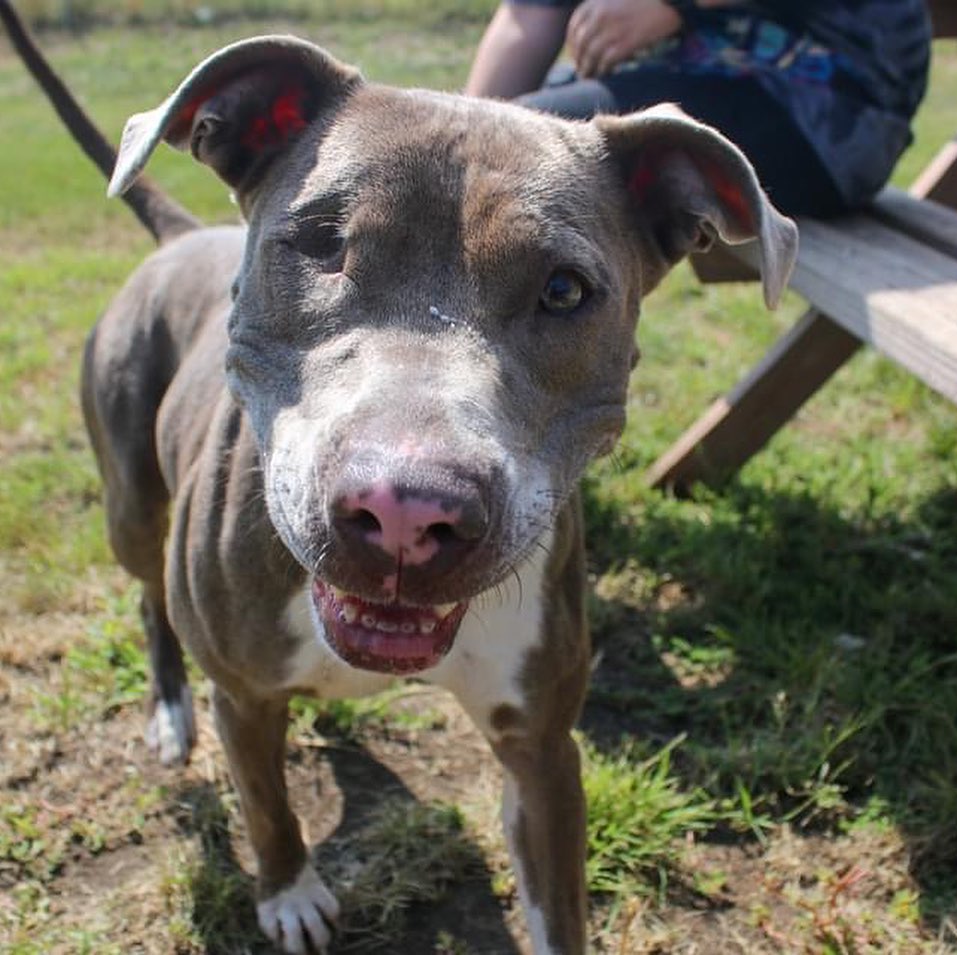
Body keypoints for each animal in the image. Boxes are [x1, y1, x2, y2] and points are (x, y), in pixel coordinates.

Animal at [9, 11, 800, 952]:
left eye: (564, 290)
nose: (403, 512)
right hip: (131, 500)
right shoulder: (242, 694)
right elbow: (267, 806)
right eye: (322, 244)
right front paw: (289, 892)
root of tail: (182, 235)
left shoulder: (540, 749)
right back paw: (169, 711)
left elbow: (557, 907)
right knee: (145, 594)